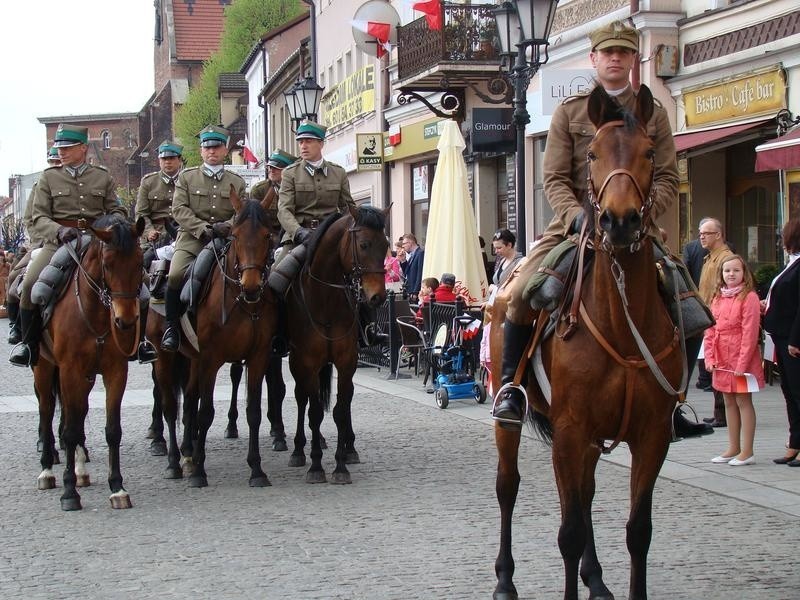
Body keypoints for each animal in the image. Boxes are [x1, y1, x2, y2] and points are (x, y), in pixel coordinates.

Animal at [34, 216, 144, 510]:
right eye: (107, 265)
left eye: (140, 263)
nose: (125, 321)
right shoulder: (69, 370)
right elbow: (69, 431)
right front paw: (69, 492)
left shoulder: (116, 371)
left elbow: (112, 430)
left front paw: (117, 488)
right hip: (44, 367)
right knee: (47, 411)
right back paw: (47, 471)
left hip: (85, 377)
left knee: (79, 411)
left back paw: (81, 469)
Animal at [152, 188, 280, 488]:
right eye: (235, 234)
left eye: (267, 235)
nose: (251, 286)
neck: (242, 302)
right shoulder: (210, 359)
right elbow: (206, 412)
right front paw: (200, 471)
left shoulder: (258, 357)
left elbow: (253, 412)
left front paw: (256, 469)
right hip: (165, 358)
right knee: (171, 407)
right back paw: (175, 462)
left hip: (191, 360)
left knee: (188, 401)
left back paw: (188, 453)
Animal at [282, 206, 390, 482]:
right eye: (364, 244)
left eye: (386, 245)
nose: (378, 297)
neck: (326, 301)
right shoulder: (307, 362)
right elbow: (315, 412)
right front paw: (315, 465)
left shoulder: (347, 361)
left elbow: (341, 410)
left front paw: (341, 465)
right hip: (298, 364)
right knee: (302, 399)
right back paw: (300, 449)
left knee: (345, 399)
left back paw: (349, 448)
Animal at [490, 84, 684, 600]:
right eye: (592, 152)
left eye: (650, 152)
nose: (619, 221)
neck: (621, 325)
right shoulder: (571, 429)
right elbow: (570, 533)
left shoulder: (652, 435)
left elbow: (638, 531)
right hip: (515, 420)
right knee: (509, 487)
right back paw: (504, 580)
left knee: (582, 493)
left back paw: (595, 578)